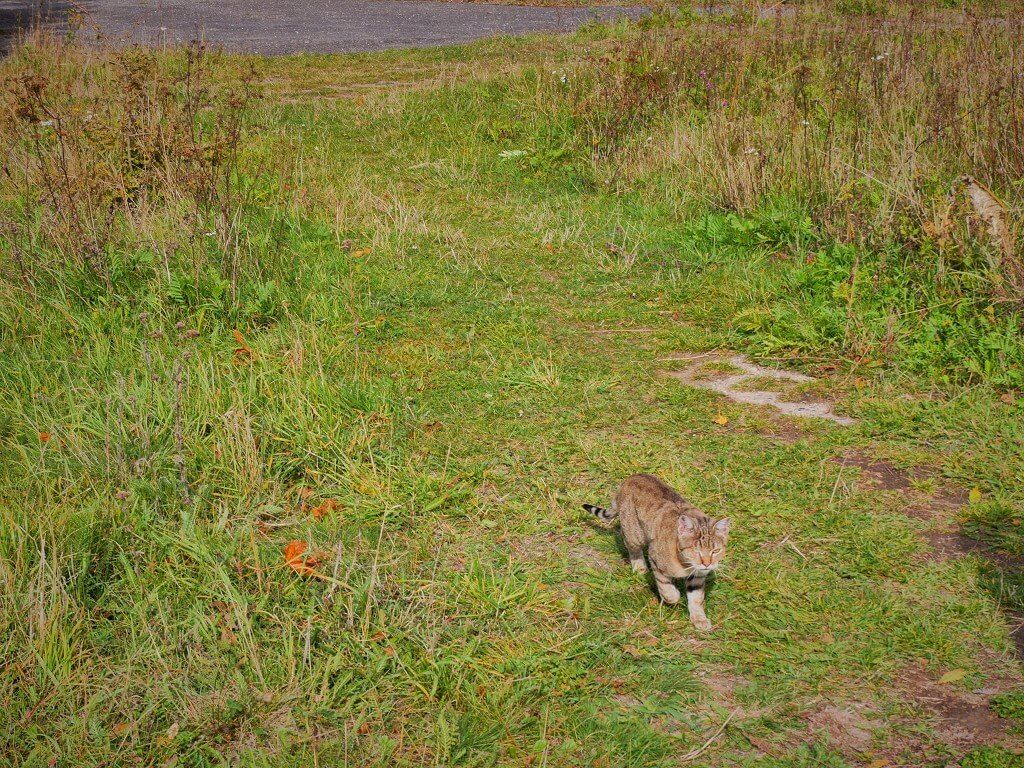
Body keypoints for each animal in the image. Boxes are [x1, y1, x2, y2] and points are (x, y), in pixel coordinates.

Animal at [585, 475, 729, 630]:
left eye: (716, 550)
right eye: (696, 550)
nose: (707, 564)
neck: (685, 564)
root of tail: (631, 477)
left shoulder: (698, 576)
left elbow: (696, 598)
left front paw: (699, 619)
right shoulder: (655, 557)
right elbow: (667, 590)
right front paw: (675, 595)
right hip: (635, 534)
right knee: (630, 544)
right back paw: (639, 567)